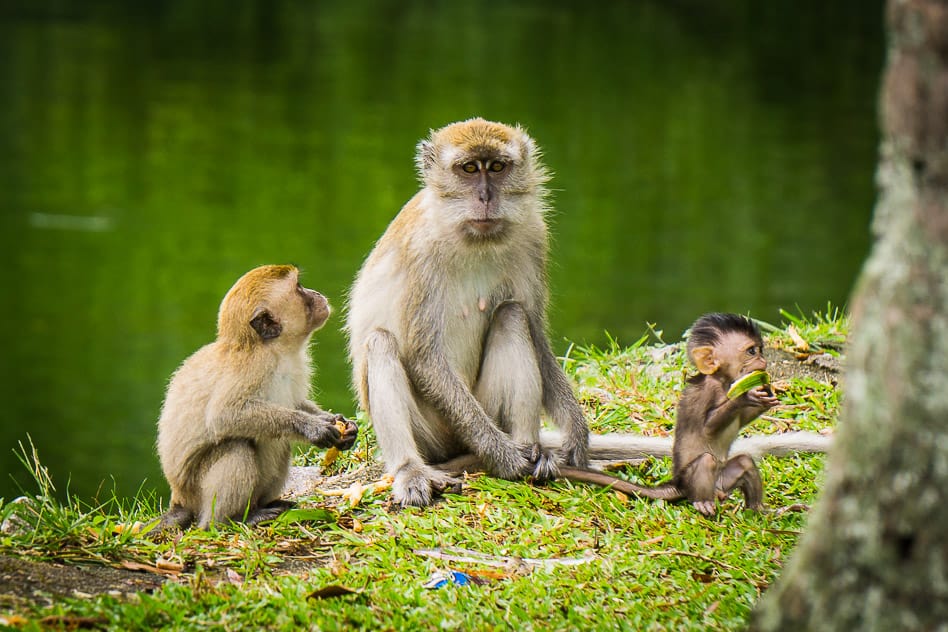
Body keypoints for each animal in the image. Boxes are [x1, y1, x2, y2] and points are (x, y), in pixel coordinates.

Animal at [156, 264, 358, 529]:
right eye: (299, 288)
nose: (317, 294)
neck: (274, 350)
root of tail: (179, 499)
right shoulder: (255, 366)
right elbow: (224, 415)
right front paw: (312, 427)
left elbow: (296, 402)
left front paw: (340, 424)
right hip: (198, 493)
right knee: (238, 446)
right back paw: (229, 519)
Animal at [346, 118, 589, 507]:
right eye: (470, 169)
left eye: (498, 167)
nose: (486, 198)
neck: (473, 238)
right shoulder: (420, 250)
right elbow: (424, 357)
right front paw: (502, 456)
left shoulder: (534, 236)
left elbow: (535, 332)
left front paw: (575, 432)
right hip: (433, 432)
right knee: (381, 343)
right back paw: (412, 470)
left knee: (511, 314)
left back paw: (531, 447)